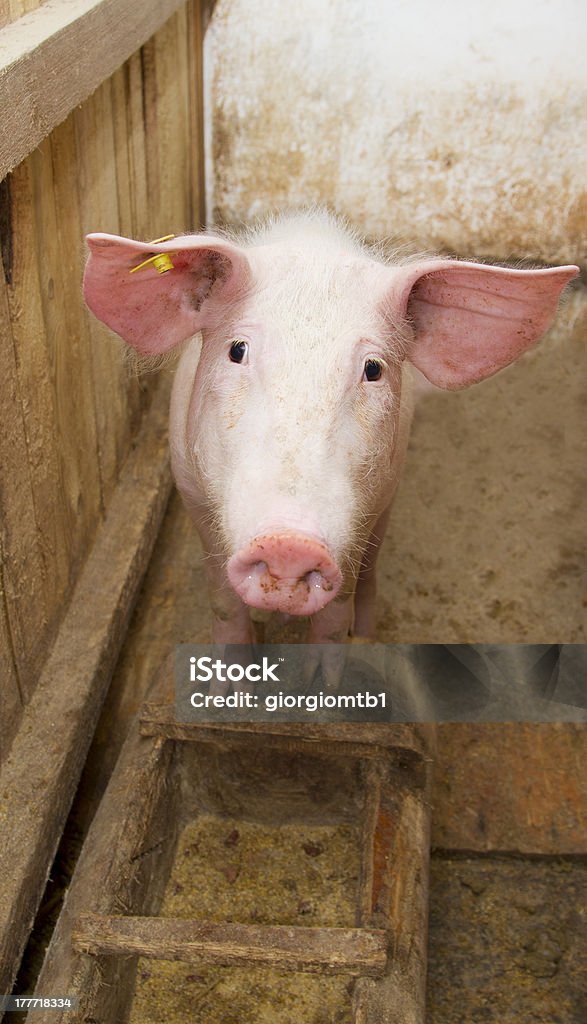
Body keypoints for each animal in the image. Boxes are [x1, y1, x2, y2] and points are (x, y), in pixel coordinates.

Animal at [82, 209, 577, 647]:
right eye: (237, 351)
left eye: (373, 369)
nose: (289, 543)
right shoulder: (192, 493)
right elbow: (223, 603)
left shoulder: (372, 505)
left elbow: (337, 615)